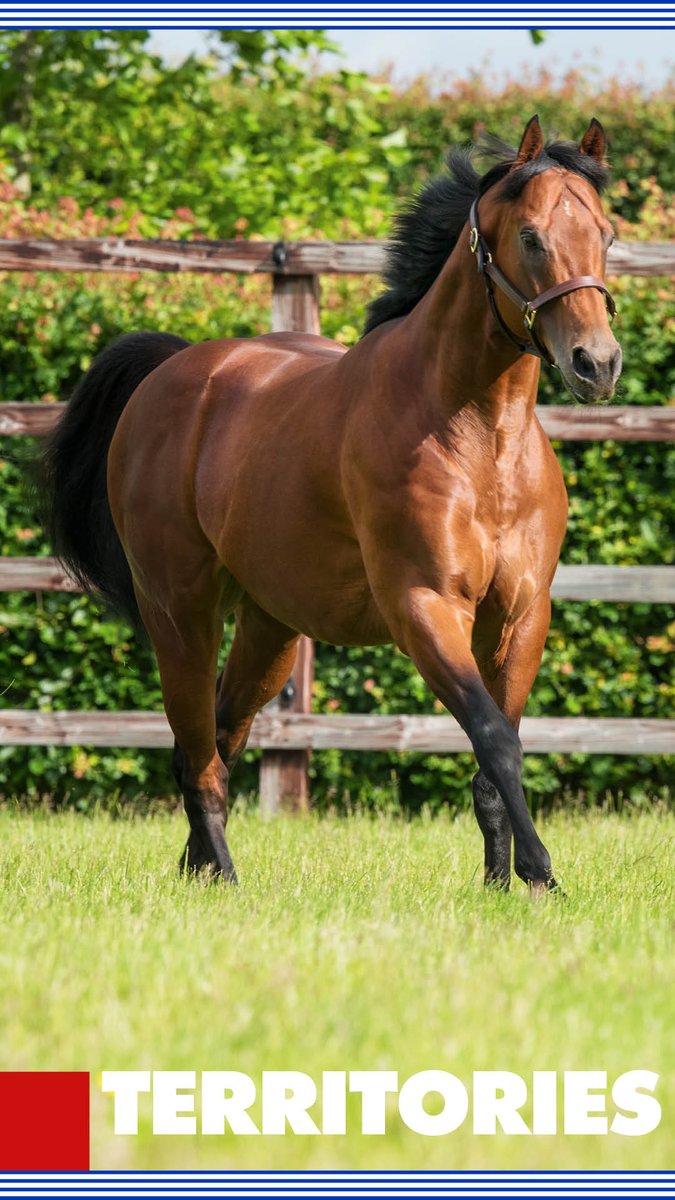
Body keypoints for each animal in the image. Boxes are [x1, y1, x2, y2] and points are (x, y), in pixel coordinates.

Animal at [42, 115, 621, 893]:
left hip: (270, 629)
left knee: (218, 736)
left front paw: (500, 886)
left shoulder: (521, 614)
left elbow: (492, 755)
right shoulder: (423, 605)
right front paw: (540, 876)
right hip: (180, 611)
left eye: (606, 234)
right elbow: (495, 739)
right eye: (530, 236)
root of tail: (171, 372)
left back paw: (197, 870)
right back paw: (223, 878)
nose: (598, 364)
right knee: (197, 751)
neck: (479, 439)